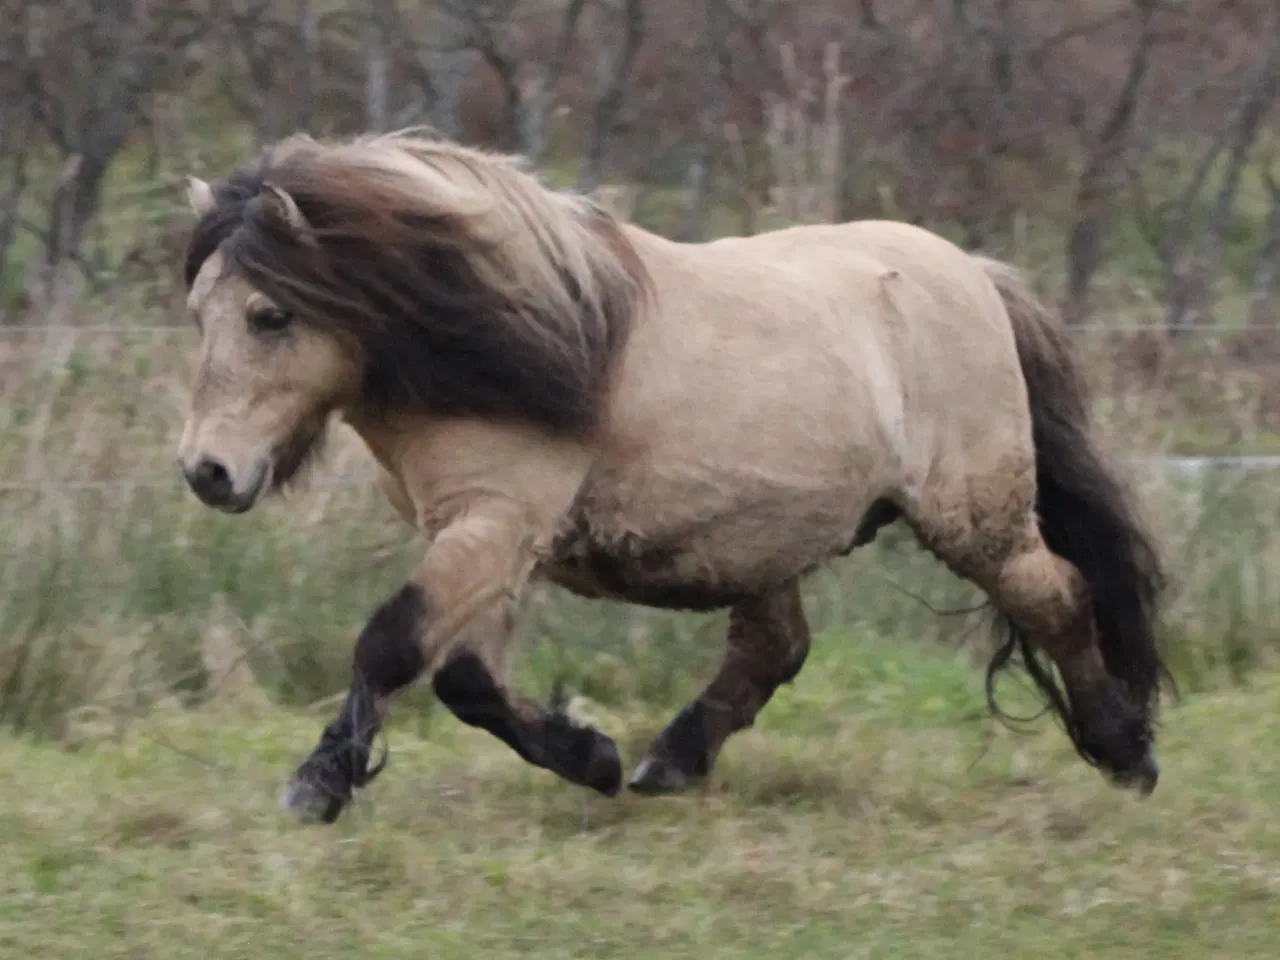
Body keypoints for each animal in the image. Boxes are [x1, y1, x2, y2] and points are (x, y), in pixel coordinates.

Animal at [177, 129, 1172, 829]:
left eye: (270, 315)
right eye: (196, 314)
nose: (206, 472)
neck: (512, 334)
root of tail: (976, 273)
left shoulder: (496, 522)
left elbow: (390, 645)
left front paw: (318, 784)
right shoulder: (485, 534)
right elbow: (463, 678)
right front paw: (591, 756)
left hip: (975, 522)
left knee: (1058, 599)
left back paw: (1125, 752)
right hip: (768, 539)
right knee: (775, 646)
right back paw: (671, 761)